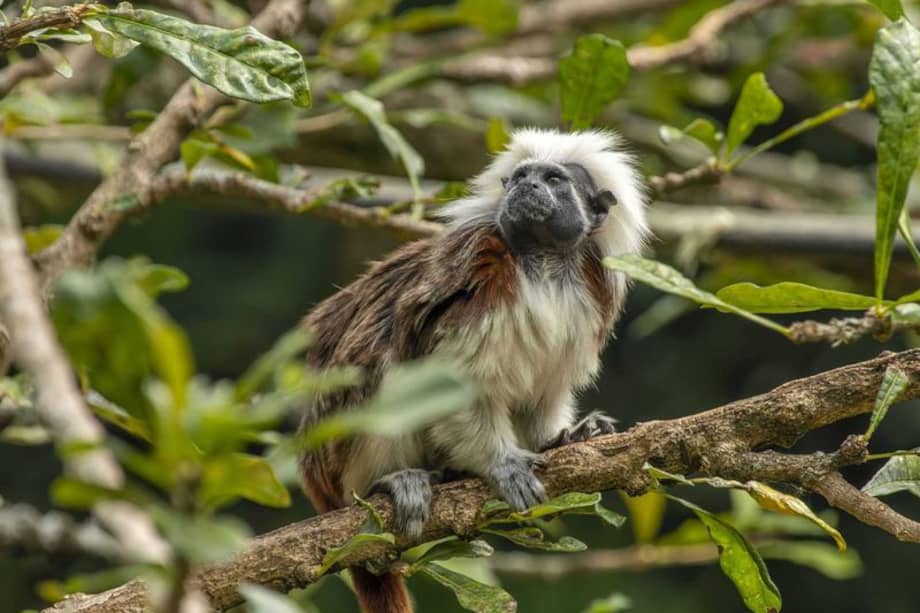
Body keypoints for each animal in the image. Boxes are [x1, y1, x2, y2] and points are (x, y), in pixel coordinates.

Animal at [299, 128, 648, 613]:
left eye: (553, 179)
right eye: (520, 176)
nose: (526, 187)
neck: (543, 265)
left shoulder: (586, 303)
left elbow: (543, 392)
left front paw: (567, 436)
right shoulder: (478, 277)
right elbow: (450, 385)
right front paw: (502, 465)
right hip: (335, 448)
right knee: (386, 362)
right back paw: (388, 483)